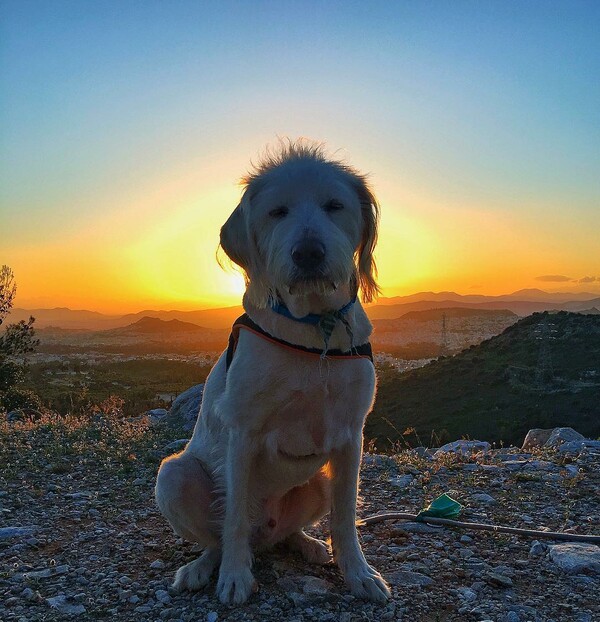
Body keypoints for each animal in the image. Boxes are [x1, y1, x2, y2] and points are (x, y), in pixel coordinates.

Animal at [155, 140, 390, 604]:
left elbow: (345, 517)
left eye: (334, 205)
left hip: (319, 480)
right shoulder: (243, 433)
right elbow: (233, 518)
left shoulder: (351, 437)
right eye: (277, 212)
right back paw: (203, 567)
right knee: (222, 534)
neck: (315, 329)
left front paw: (358, 573)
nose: (308, 254)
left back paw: (306, 543)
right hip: (172, 476)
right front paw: (233, 576)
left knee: (288, 531)